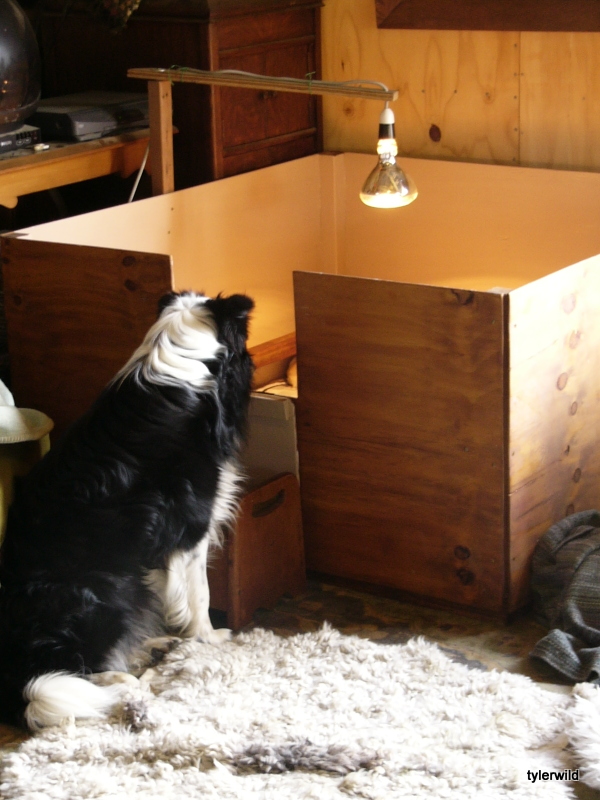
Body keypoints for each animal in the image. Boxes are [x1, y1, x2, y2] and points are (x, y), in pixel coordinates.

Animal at [0, 290, 254, 731]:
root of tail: (14, 675)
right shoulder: (192, 528)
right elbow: (200, 593)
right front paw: (209, 639)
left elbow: (170, 590)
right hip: (106, 589)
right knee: (76, 673)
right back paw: (127, 683)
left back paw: (151, 649)